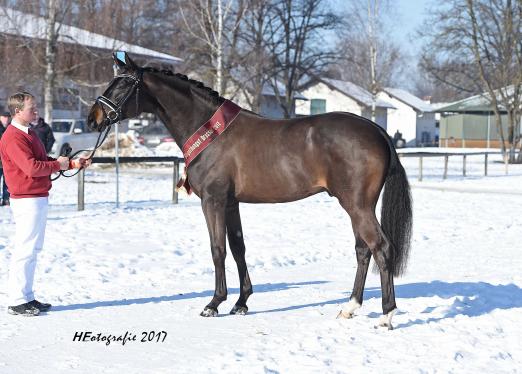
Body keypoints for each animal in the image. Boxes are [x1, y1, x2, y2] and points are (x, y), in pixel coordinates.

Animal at [87, 51, 410, 328]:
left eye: (122, 84)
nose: (94, 118)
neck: (210, 132)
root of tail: (376, 131)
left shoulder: (213, 201)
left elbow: (217, 249)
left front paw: (214, 303)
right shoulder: (232, 203)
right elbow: (238, 248)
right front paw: (241, 302)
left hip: (357, 206)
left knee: (381, 248)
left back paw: (386, 315)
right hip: (358, 206)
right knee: (363, 250)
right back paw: (350, 307)